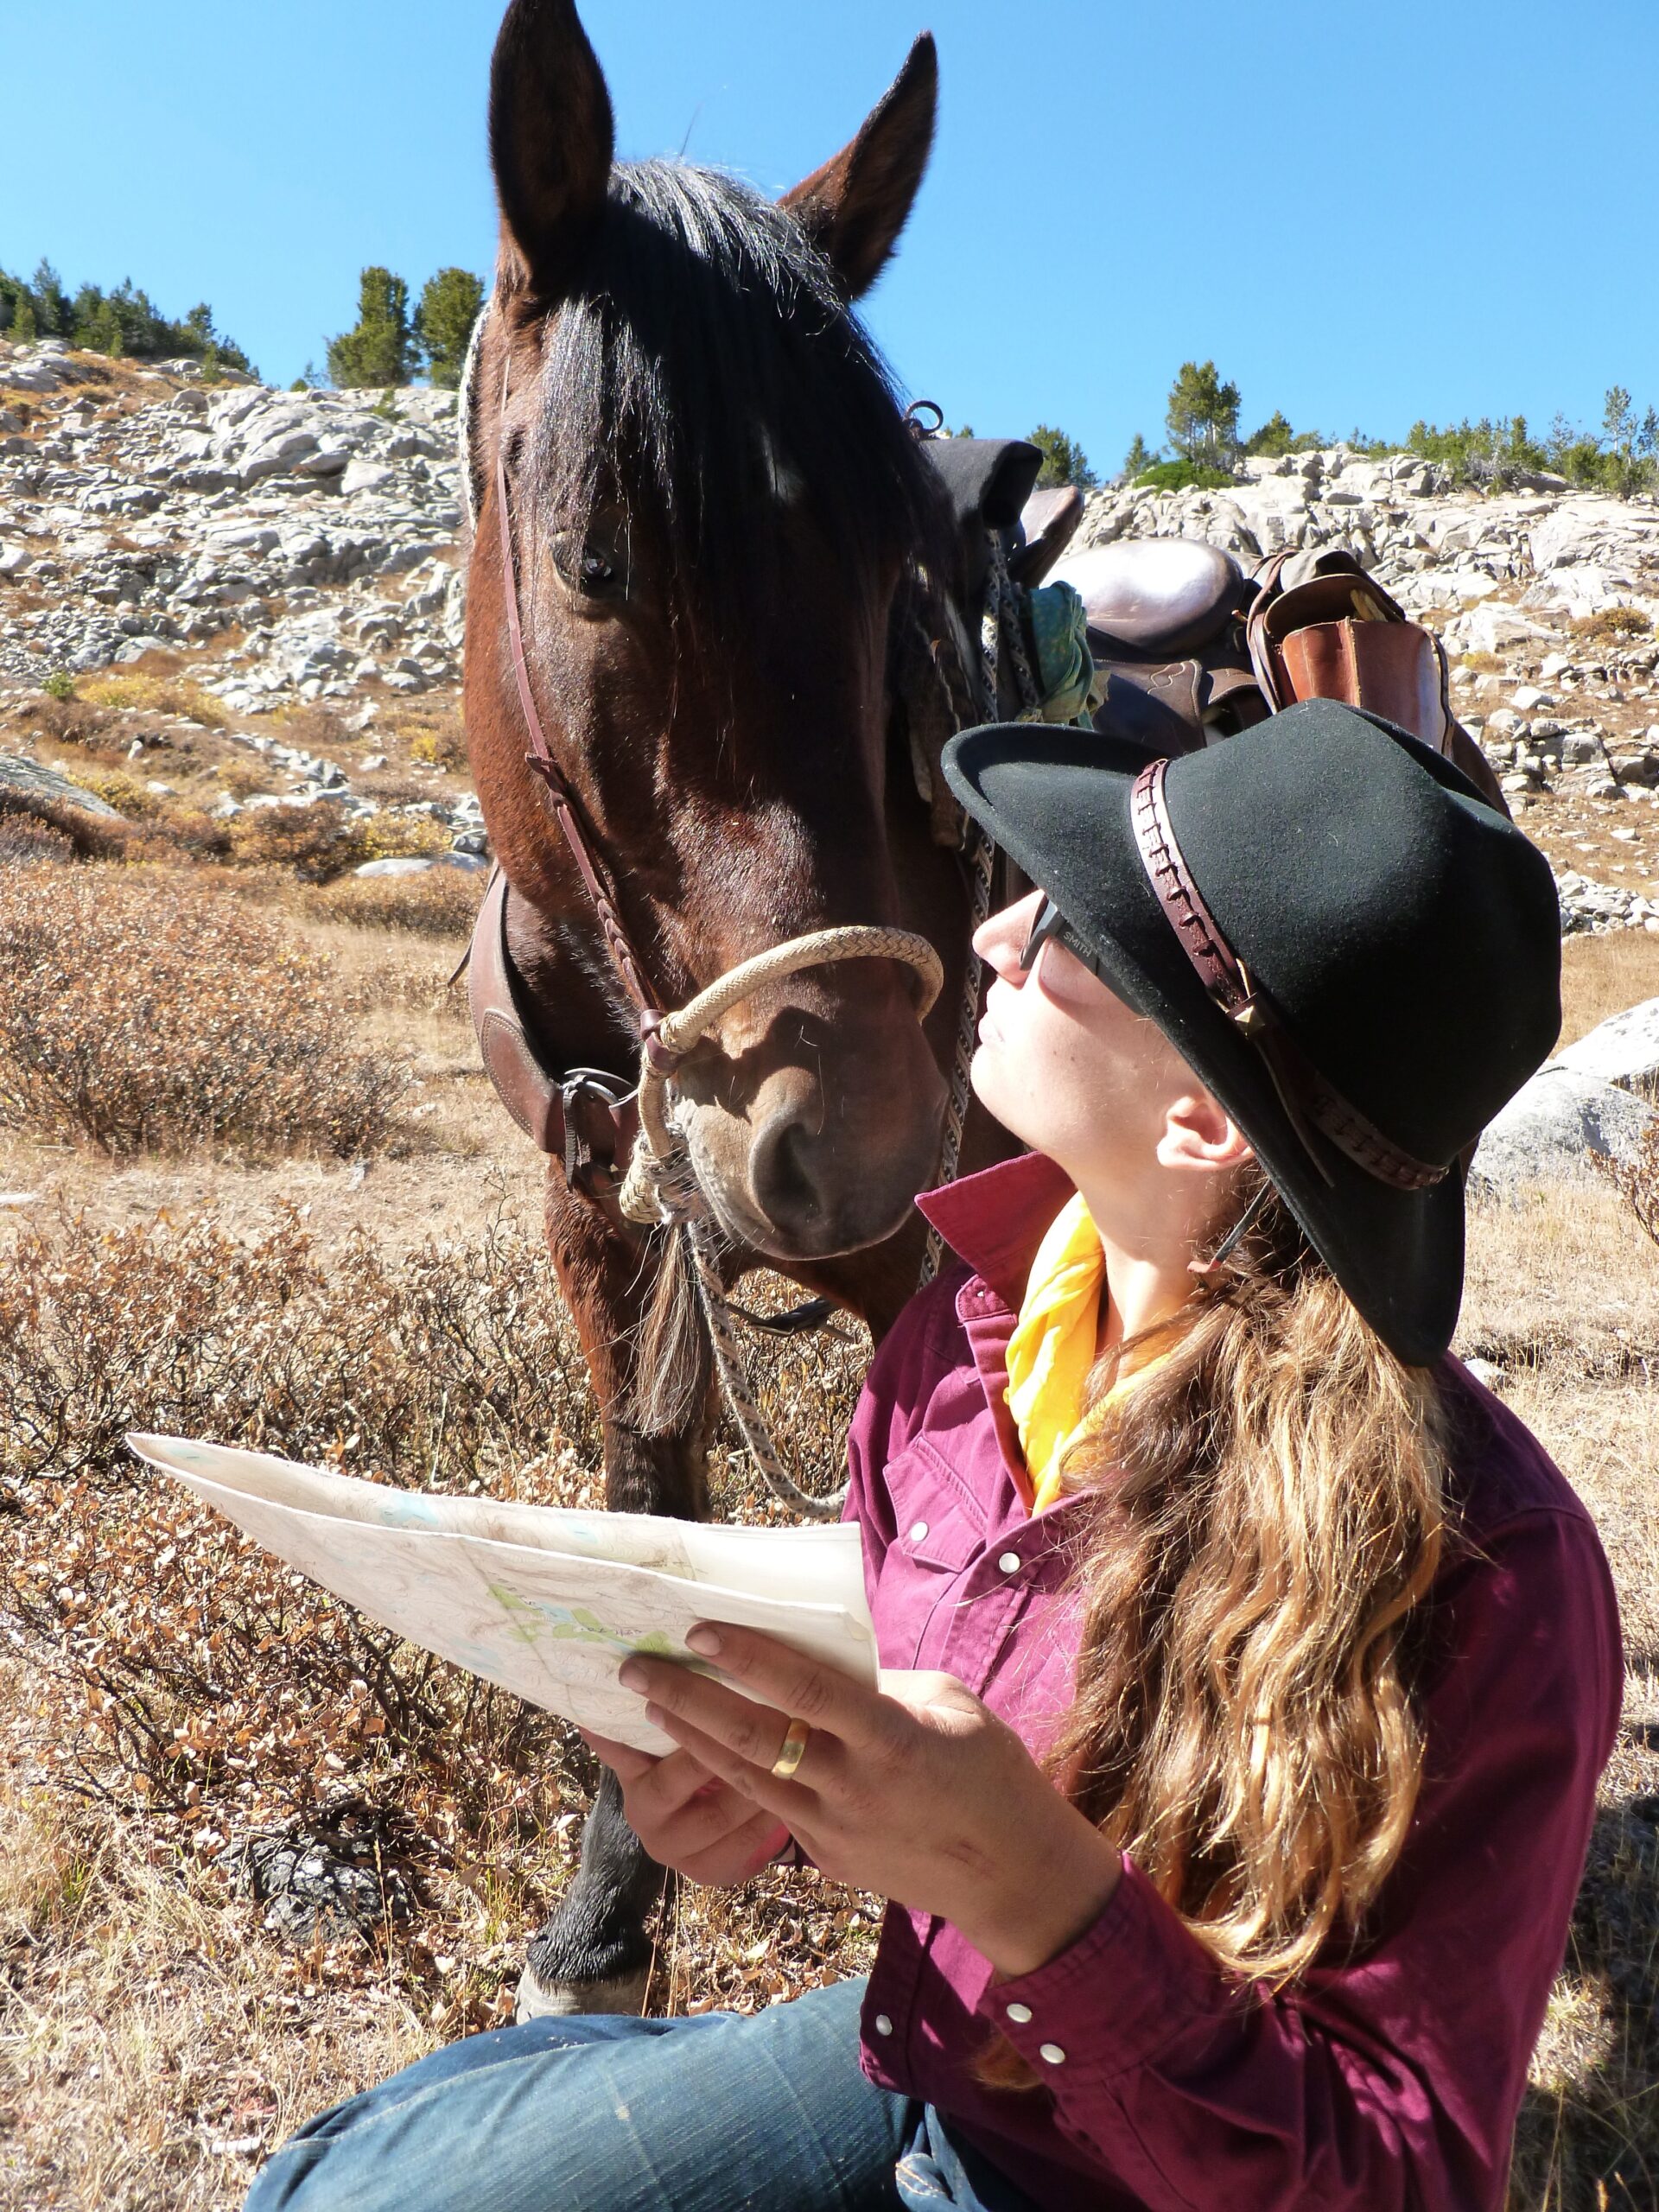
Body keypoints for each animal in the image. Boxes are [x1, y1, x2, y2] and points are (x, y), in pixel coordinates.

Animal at [460, 0, 1026, 2016]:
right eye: (594, 561)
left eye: (895, 576)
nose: (844, 1136)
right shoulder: (596, 1210)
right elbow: (650, 1500)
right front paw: (607, 1915)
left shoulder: (939, 1258)